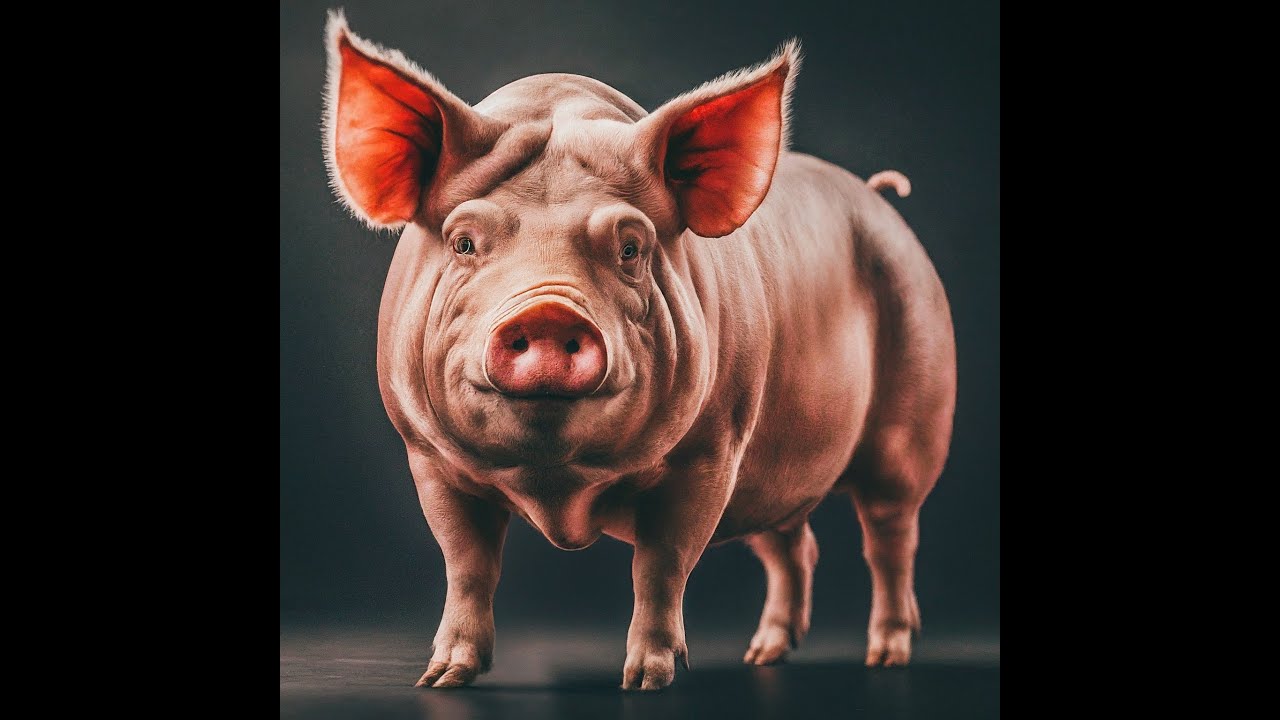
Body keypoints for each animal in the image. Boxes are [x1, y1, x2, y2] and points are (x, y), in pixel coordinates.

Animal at [322, 10, 956, 691]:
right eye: (464, 242)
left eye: (630, 247)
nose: (547, 311)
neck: (560, 490)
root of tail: (880, 200)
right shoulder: (428, 456)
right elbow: (466, 563)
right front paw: (441, 679)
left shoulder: (712, 448)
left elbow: (662, 564)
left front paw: (648, 681)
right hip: (769, 462)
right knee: (792, 543)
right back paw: (763, 654)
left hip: (910, 412)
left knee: (890, 535)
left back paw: (886, 656)